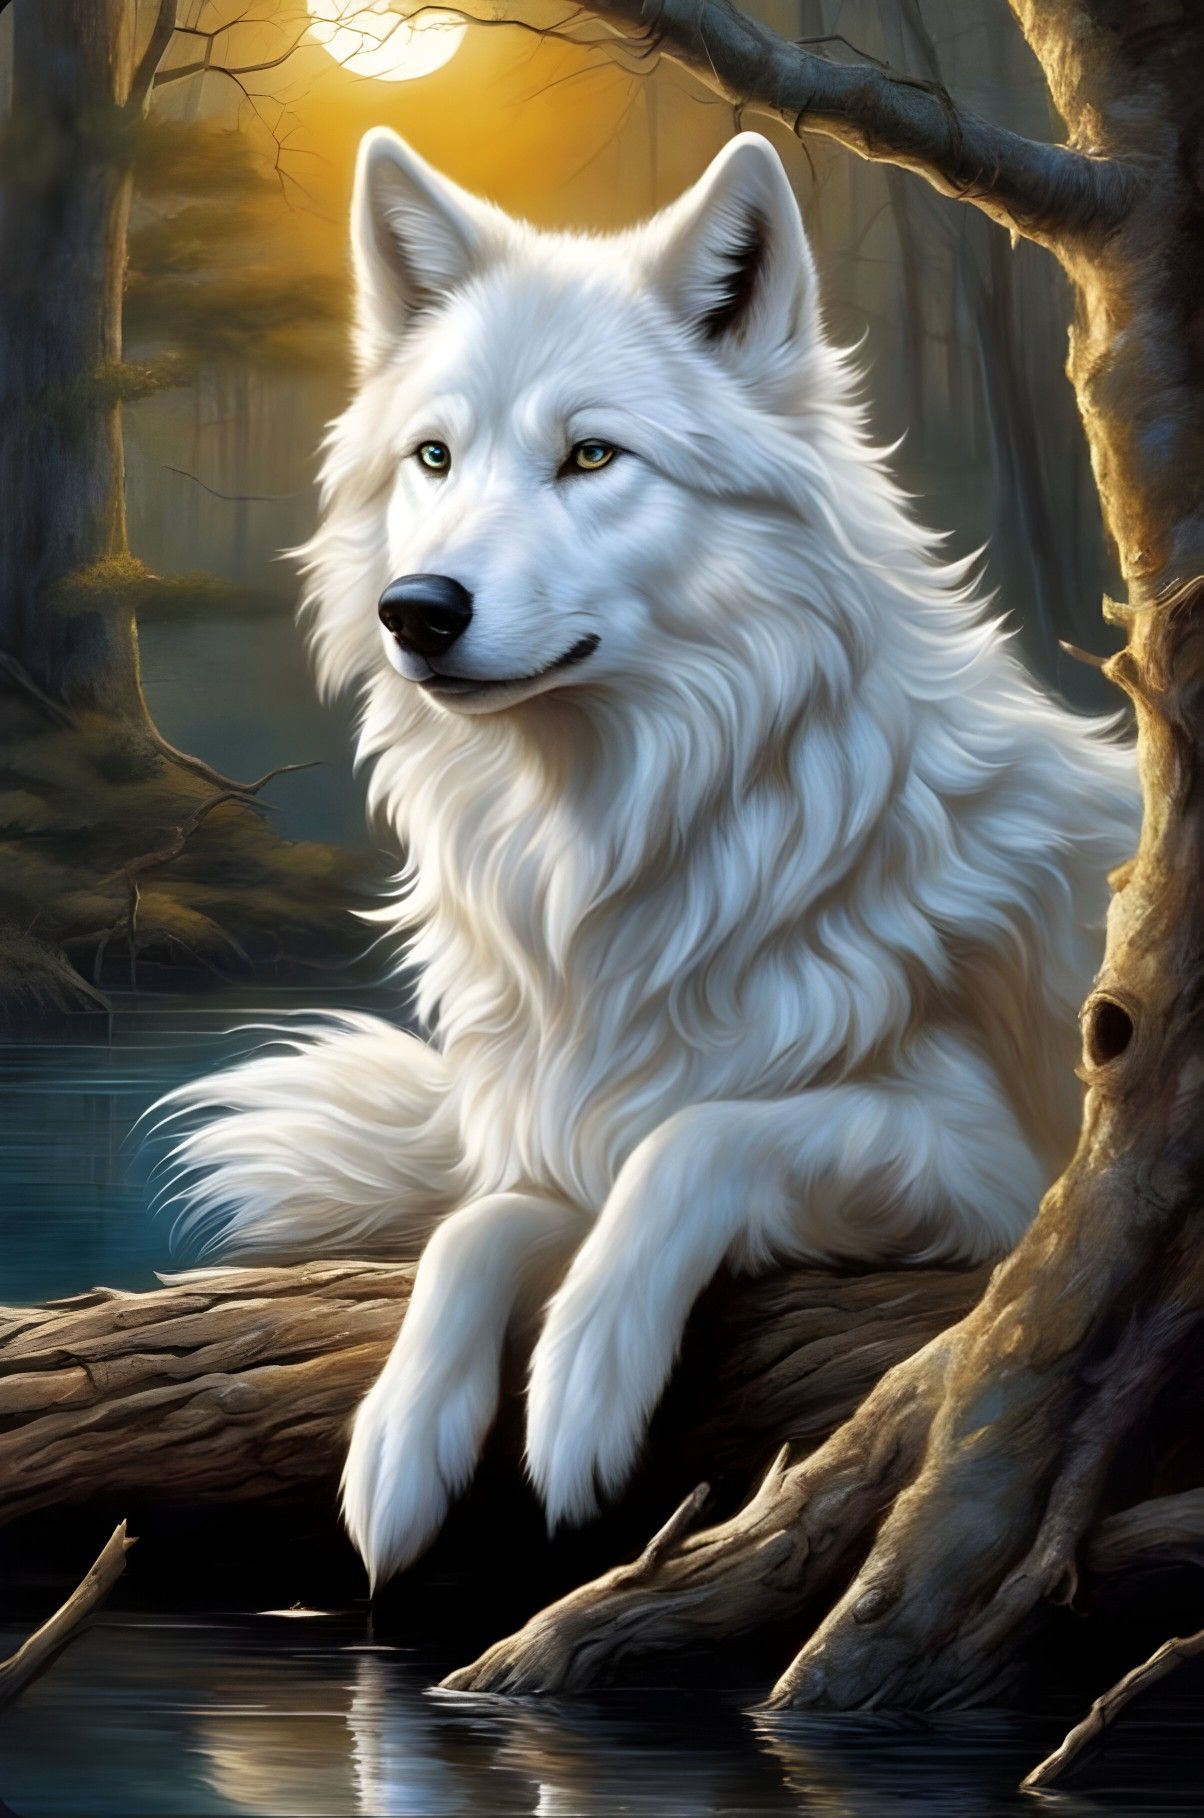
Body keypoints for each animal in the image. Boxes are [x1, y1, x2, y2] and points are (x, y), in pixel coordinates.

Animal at [162, 128, 1138, 1589]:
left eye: (590, 456)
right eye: (434, 456)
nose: (415, 610)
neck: (612, 849)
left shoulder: (996, 1177)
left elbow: (699, 1135)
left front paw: (581, 1386)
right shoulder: (568, 1124)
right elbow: (479, 1221)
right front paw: (402, 1432)